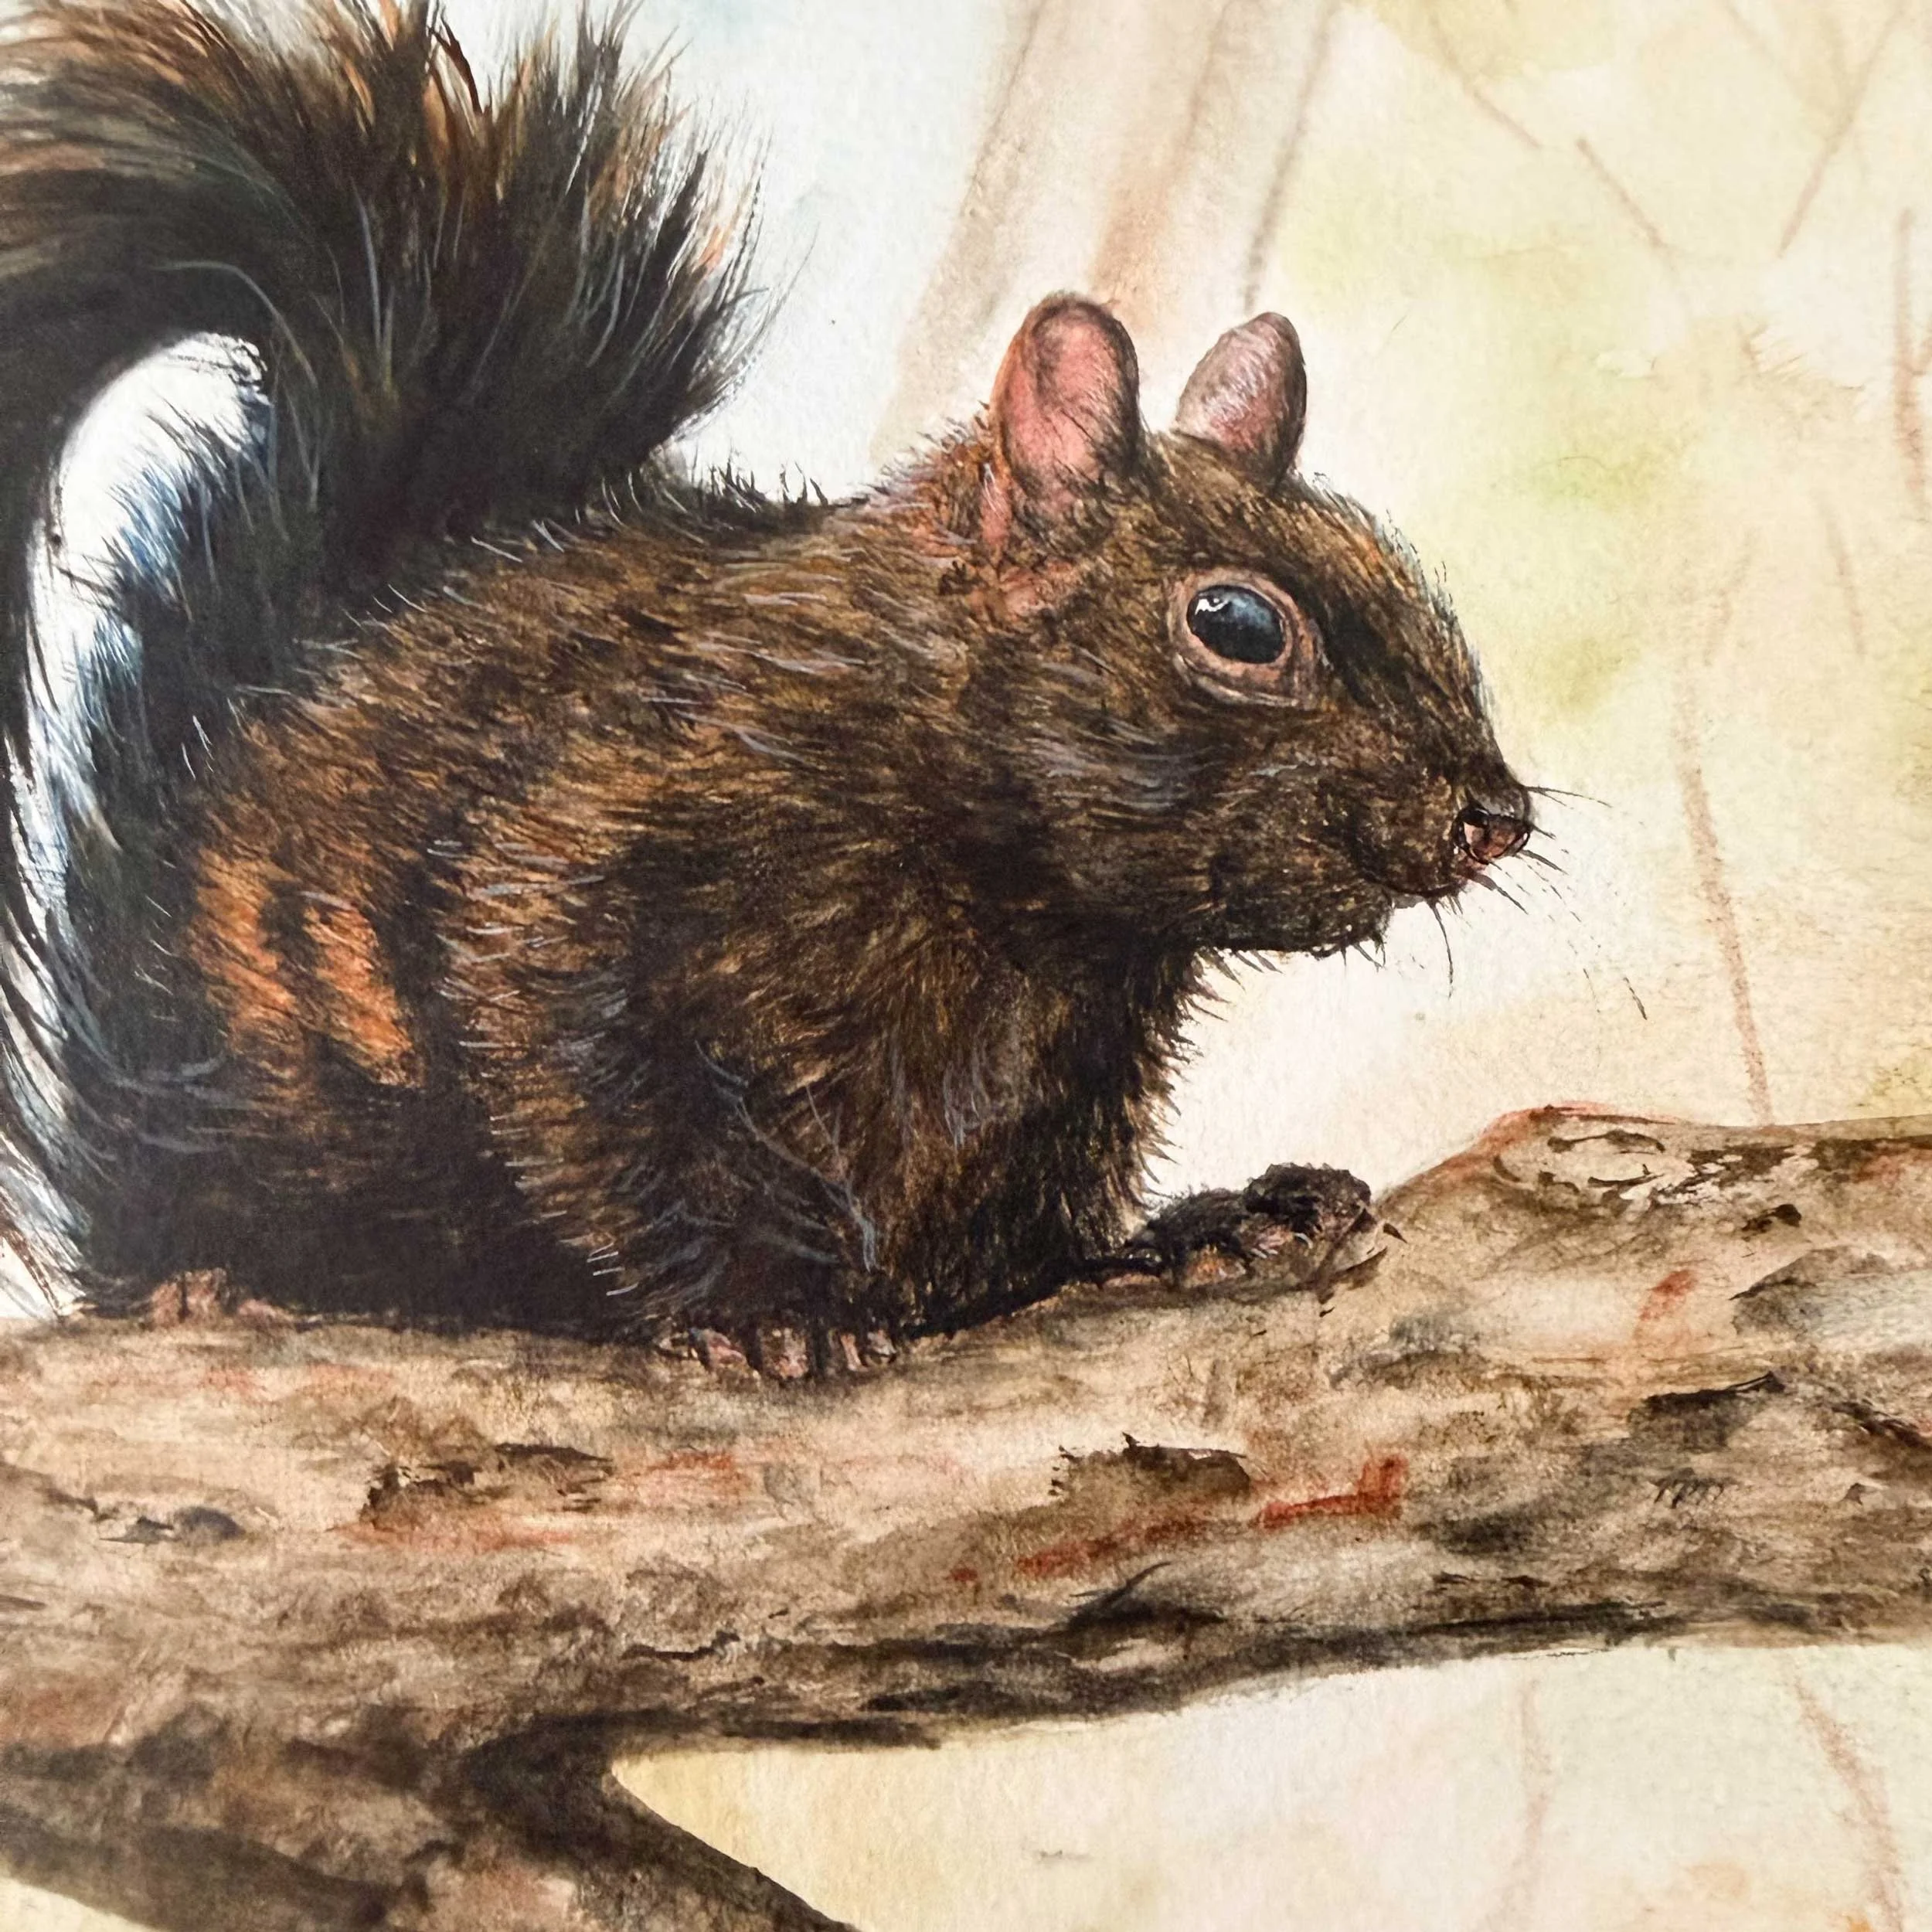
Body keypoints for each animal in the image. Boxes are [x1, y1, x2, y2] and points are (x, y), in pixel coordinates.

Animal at [0, 0, 1531, 1357]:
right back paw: (212, 1278)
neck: (1030, 921)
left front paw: (1189, 1228)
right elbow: (598, 1103)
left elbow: (1018, 1243)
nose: (1497, 817)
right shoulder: (578, 874)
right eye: (1237, 624)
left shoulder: (1063, 1081)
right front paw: (763, 1309)